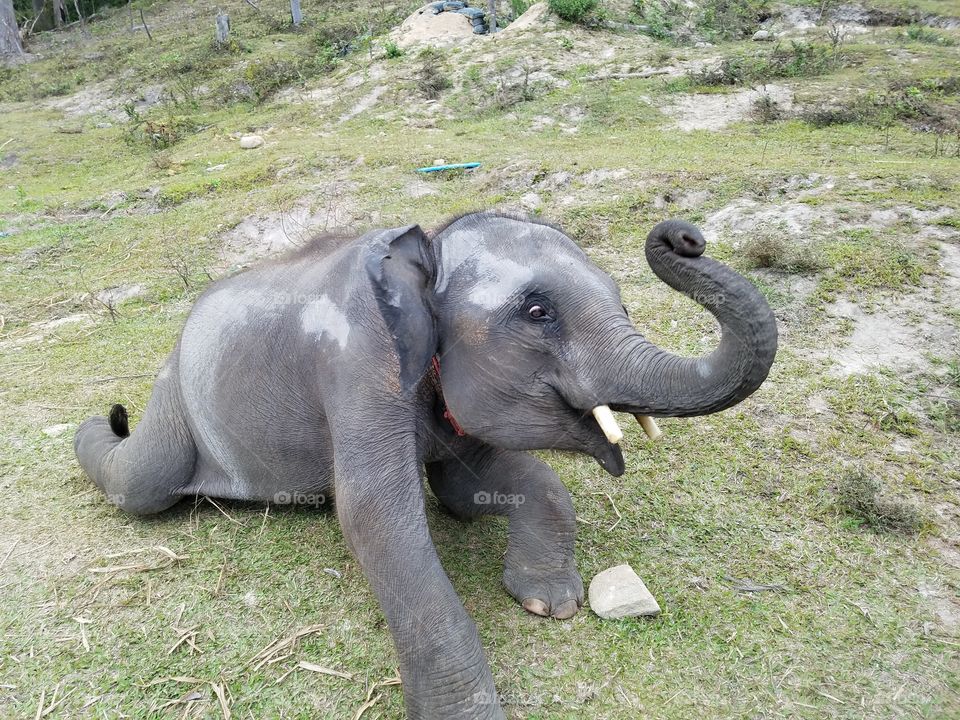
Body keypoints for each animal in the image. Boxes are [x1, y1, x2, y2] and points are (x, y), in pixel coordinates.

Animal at [75, 211, 777, 718]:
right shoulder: (361, 366)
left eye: (623, 304)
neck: (425, 245)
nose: (684, 237)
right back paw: (106, 422)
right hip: (174, 401)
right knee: (142, 481)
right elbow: (376, 518)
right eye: (538, 312)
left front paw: (550, 604)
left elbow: (472, 488)